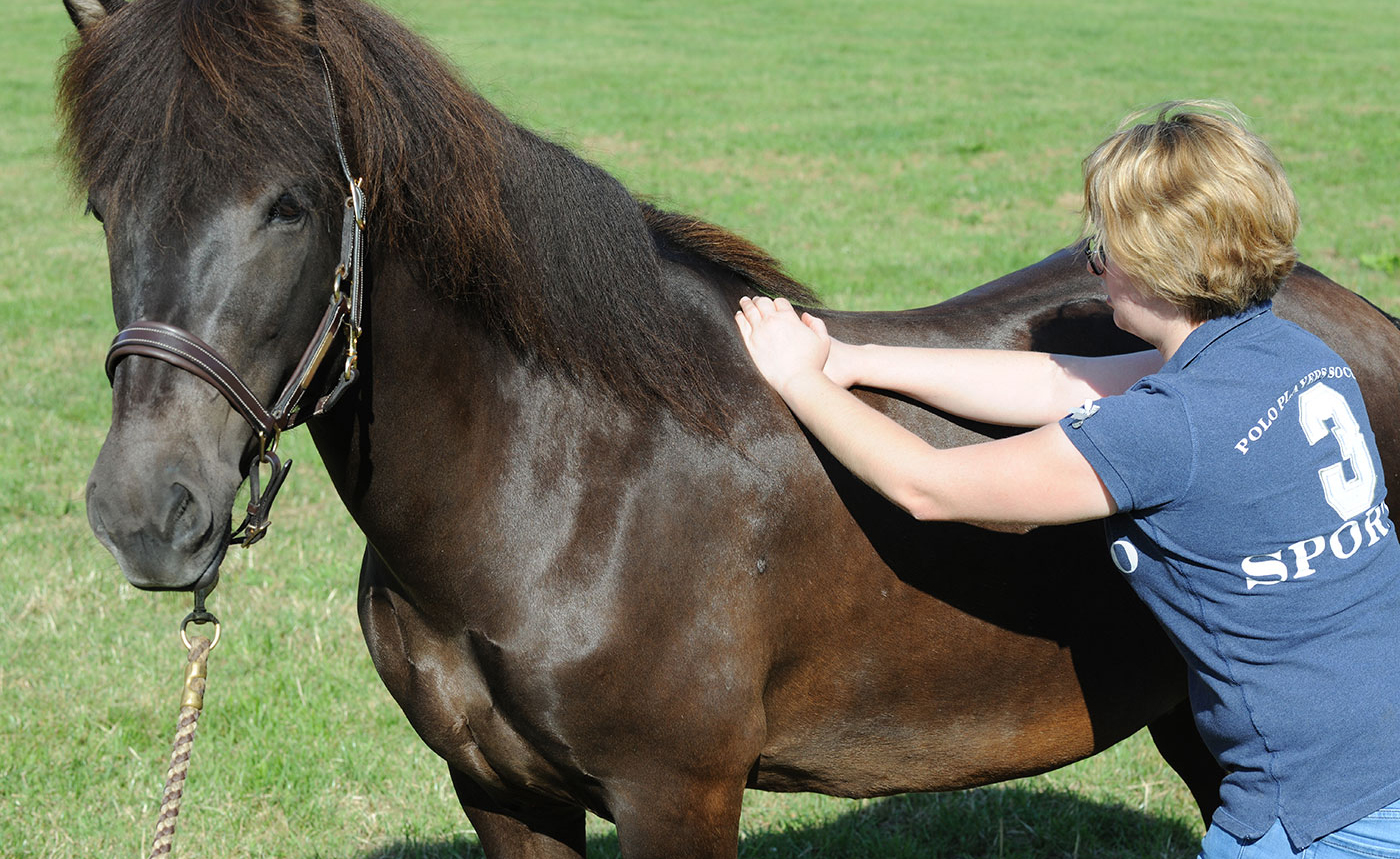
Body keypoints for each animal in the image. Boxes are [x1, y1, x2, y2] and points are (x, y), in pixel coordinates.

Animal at [63, 0, 1400, 856]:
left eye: (288, 204)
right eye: (103, 205)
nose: (147, 510)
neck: (565, 483)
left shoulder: (678, 795)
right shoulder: (500, 794)